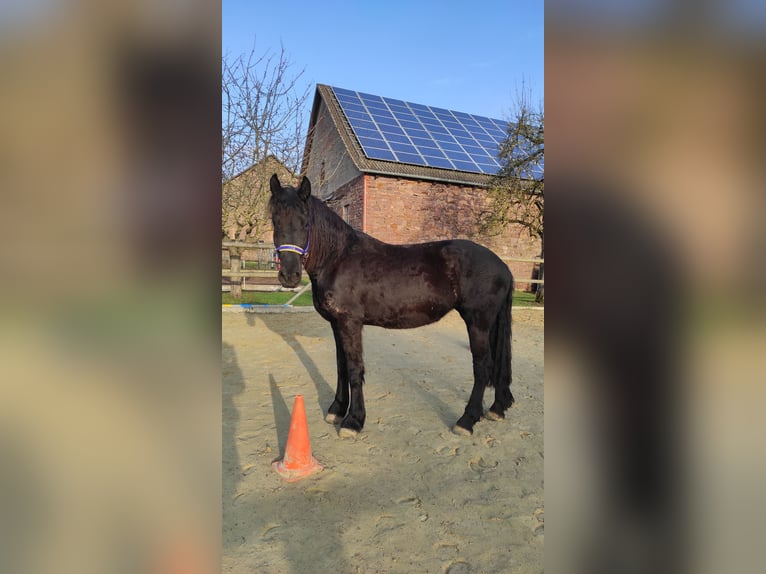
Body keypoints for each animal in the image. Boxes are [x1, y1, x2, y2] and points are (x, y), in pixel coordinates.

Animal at [269, 174, 515, 438]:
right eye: (274, 221)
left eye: (305, 223)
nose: (289, 276)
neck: (337, 258)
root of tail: (502, 266)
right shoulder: (336, 324)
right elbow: (341, 366)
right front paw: (337, 410)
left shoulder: (350, 323)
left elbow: (354, 368)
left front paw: (353, 421)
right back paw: (497, 408)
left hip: (477, 323)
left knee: (482, 367)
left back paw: (467, 420)